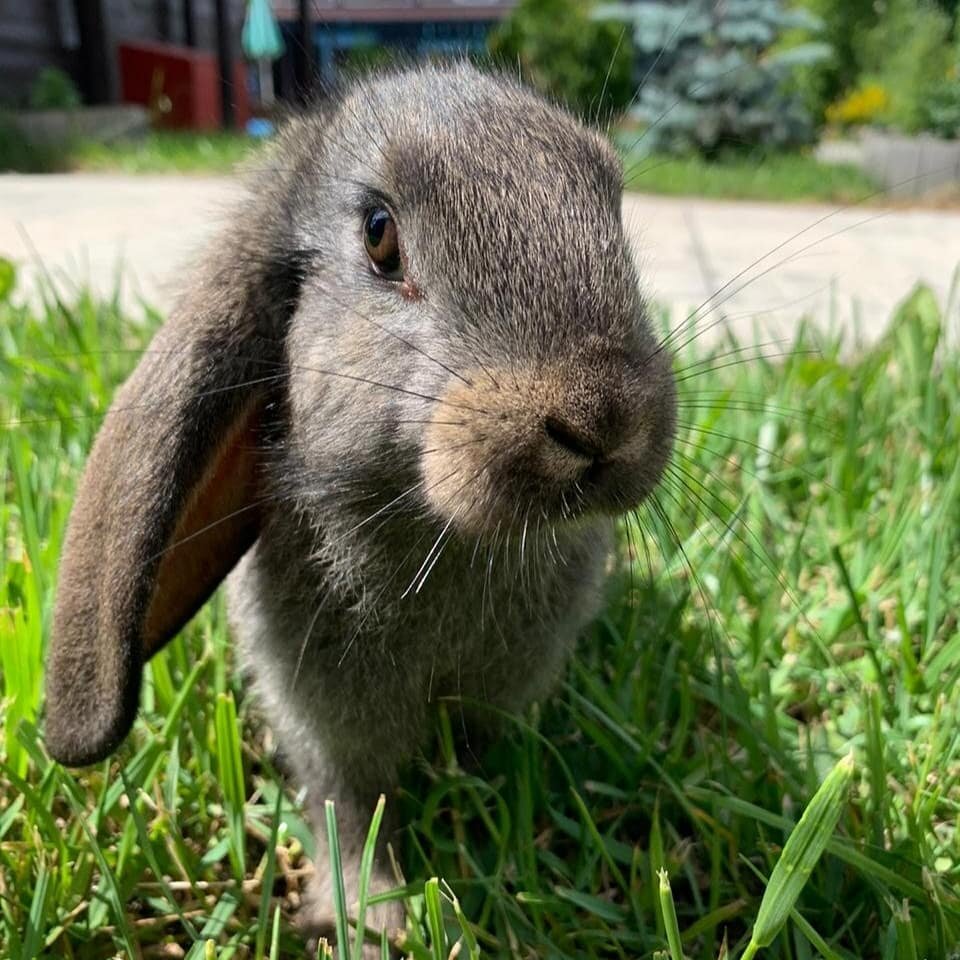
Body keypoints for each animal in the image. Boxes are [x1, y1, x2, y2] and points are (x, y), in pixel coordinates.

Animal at [41, 62, 680, 952]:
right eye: (380, 236)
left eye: (611, 206)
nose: (601, 418)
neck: (438, 537)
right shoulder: (327, 728)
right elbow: (347, 807)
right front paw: (372, 915)